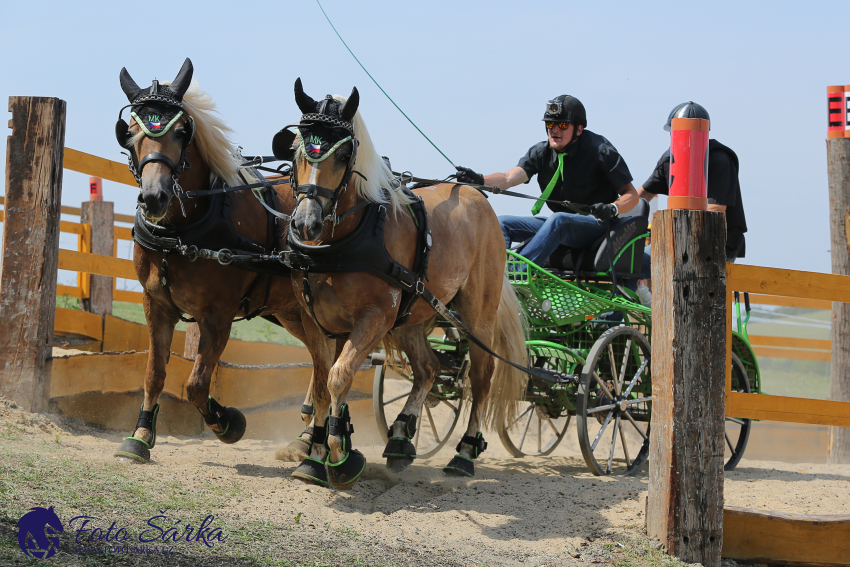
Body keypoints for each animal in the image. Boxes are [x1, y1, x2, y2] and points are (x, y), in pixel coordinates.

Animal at [112, 60, 324, 464]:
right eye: (129, 134)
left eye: (182, 132)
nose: (154, 197)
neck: (180, 234)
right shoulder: (156, 305)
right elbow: (154, 373)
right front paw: (141, 434)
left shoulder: (218, 315)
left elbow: (196, 383)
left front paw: (228, 423)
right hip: (292, 313)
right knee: (322, 360)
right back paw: (308, 429)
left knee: (329, 363)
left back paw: (313, 436)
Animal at [282, 77, 528, 490]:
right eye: (298, 149)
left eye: (343, 154)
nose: (306, 223)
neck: (347, 239)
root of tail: (478, 198)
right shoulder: (317, 322)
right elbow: (319, 384)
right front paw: (314, 455)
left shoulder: (376, 317)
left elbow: (338, 377)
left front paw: (339, 453)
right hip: (413, 316)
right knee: (428, 368)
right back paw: (399, 437)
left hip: (477, 318)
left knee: (479, 378)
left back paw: (464, 454)